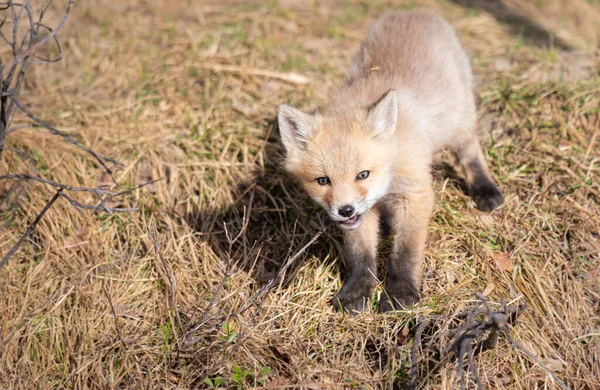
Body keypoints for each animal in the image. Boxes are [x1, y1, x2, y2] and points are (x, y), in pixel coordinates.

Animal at [278, 10, 504, 312]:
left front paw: (400, 293)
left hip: (460, 121)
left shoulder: (416, 194)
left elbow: (405, 252)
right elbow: (360, 254)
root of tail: (414, 12)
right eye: (323, 180)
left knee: (471, 153)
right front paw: (357, 291)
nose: (345, 210)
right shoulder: (362, 216)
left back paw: (485, 189)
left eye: (362, 174)